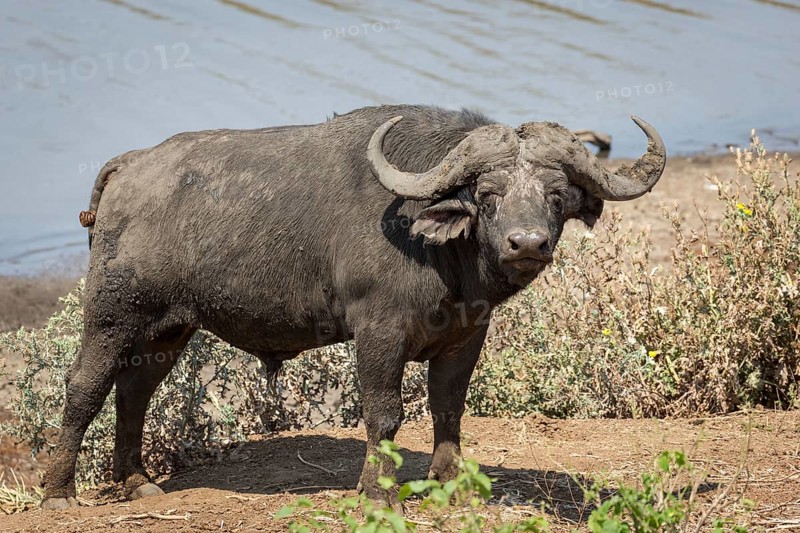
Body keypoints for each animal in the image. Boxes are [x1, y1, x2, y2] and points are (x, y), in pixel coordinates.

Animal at [42, 104, 665, 509]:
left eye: (557, 196)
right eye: (487, 195)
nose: (527, 244)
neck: (436, 250)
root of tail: (130, 164)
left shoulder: (466, 335)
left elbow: (448, 408)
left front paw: (448, 484)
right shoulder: (378, 333)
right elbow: (385, 414)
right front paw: (378, 494)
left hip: (168, 329)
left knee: (134, 391)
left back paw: (137, 482)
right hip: (111, 316)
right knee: (85, 387)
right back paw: (58, 492)